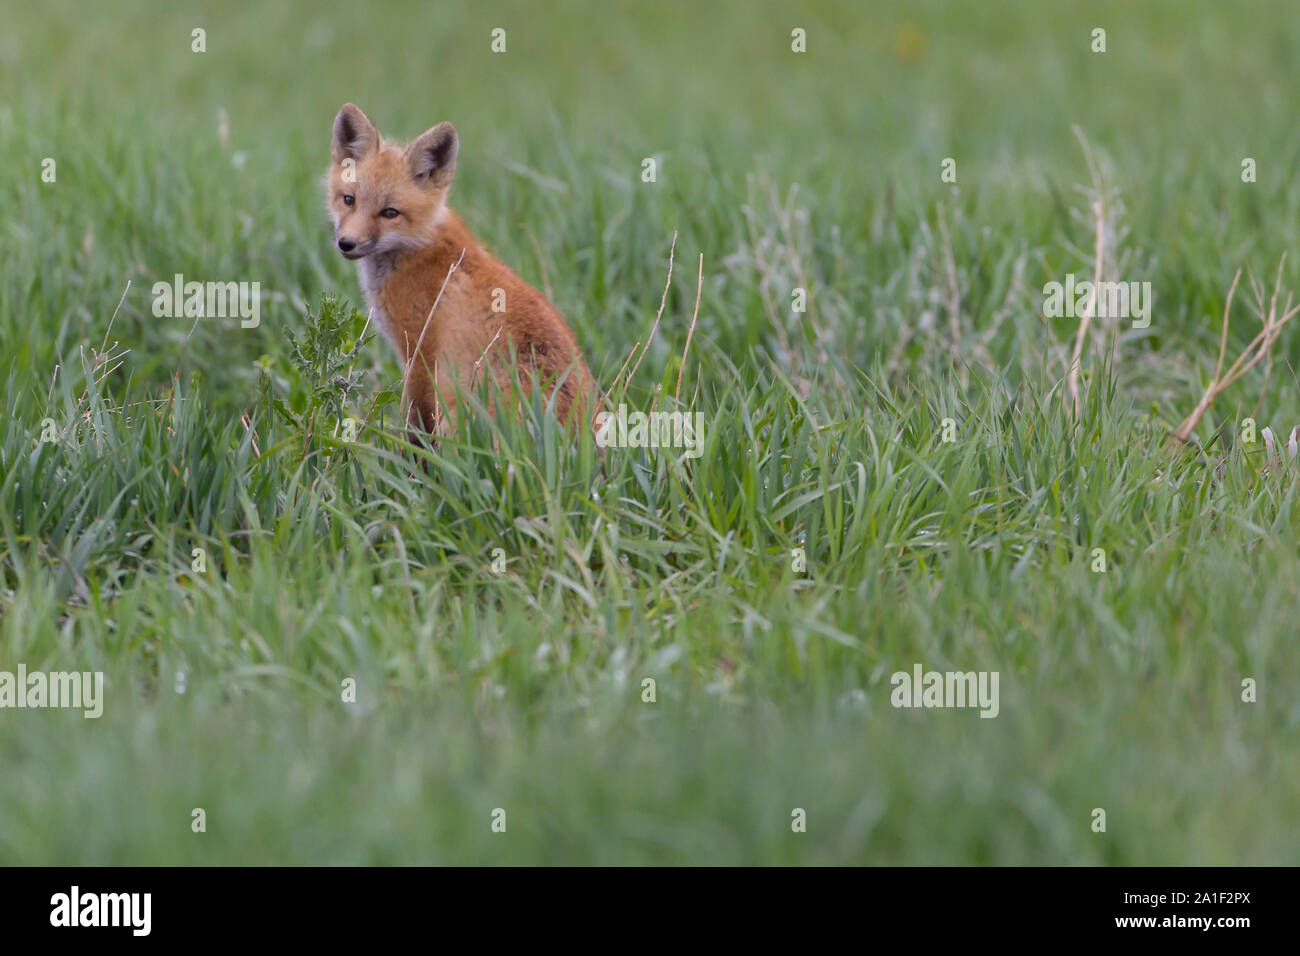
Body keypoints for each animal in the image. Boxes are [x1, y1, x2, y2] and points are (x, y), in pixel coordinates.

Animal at [325, 102, 593, 442]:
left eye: (390, 213)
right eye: (349, 200)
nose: (346, 243)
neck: (420, 247)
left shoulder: (419, 353)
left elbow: (412, 422)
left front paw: (408, 453)